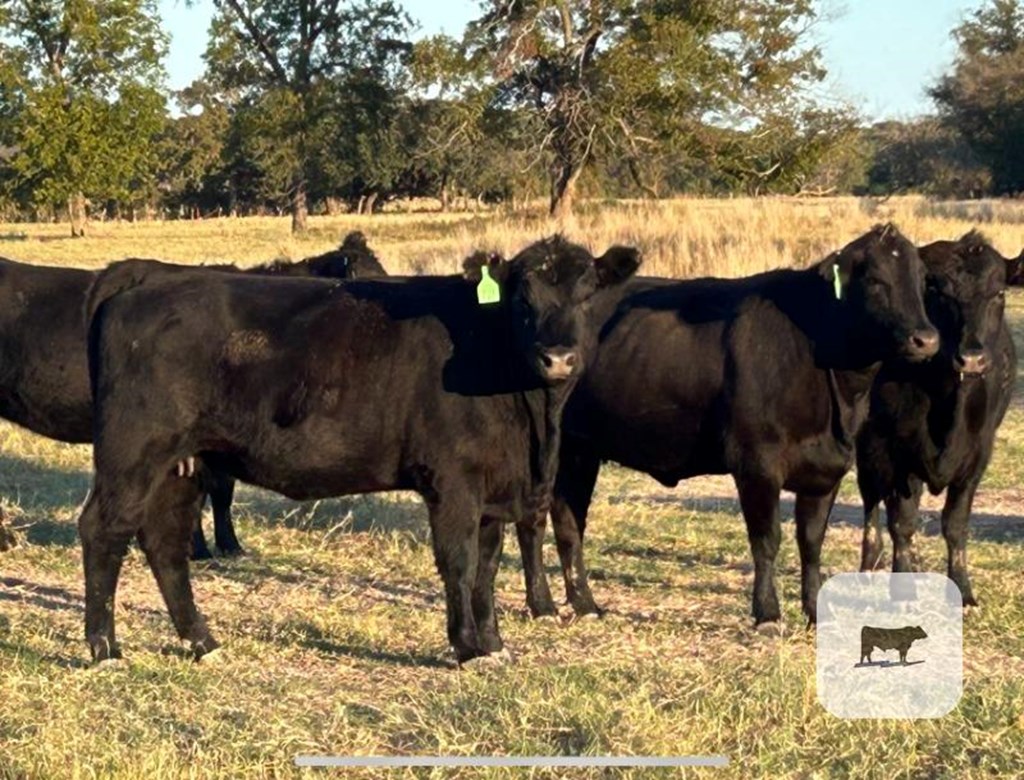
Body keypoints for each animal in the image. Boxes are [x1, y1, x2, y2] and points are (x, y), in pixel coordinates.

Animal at [856, 228, 1015, 605]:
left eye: (998, 292)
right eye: (937, 292)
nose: (971, 358)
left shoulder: (977, 457)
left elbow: (955, 525)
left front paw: (964, 590)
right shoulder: (896, 454)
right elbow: (902, 522)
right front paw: (903, 588)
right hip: (868, 452)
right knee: (872, 504)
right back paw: (870, 562)